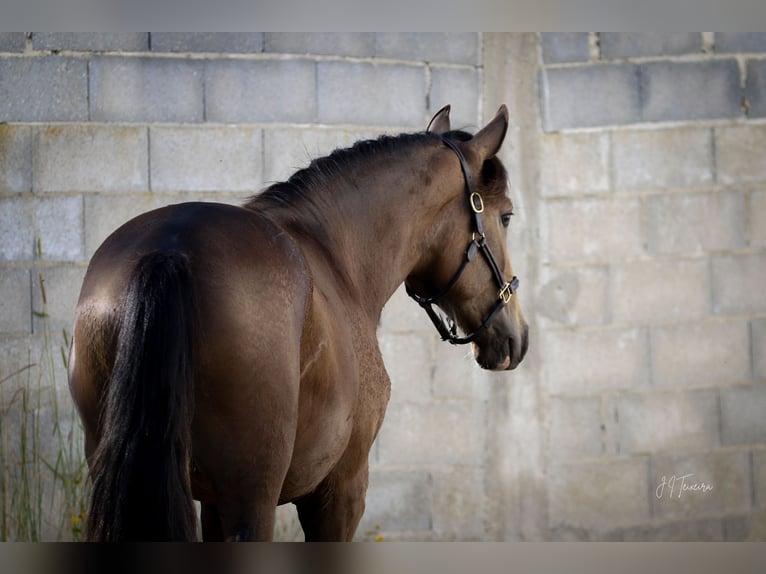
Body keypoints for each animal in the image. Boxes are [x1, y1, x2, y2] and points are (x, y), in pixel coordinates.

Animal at [67, 104, 528, 544]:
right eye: (506, 217)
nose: (517, 337)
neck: (336, 257)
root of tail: (170, 249)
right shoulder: (341, 488)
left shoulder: (212, 503)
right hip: (251, 496)